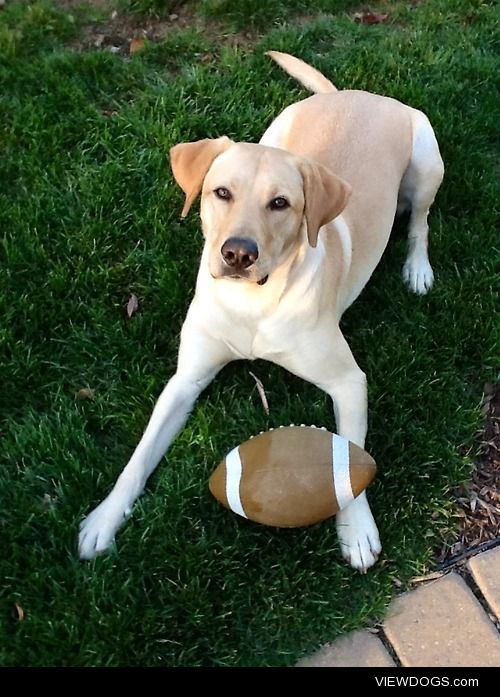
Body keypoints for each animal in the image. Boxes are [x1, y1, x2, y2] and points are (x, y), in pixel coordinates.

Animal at [79, 50, 446, 572]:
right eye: (221, 193)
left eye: (280, 203)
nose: (237, 253)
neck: (252, 303)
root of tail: (352, 93)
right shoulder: (185, 379)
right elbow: (140, 456)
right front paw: (105, 518)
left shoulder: (348, 381)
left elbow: (352, 456)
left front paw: (356, 530)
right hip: (277, 129)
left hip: (427, 159)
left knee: (420, 219)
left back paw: (417, 267)